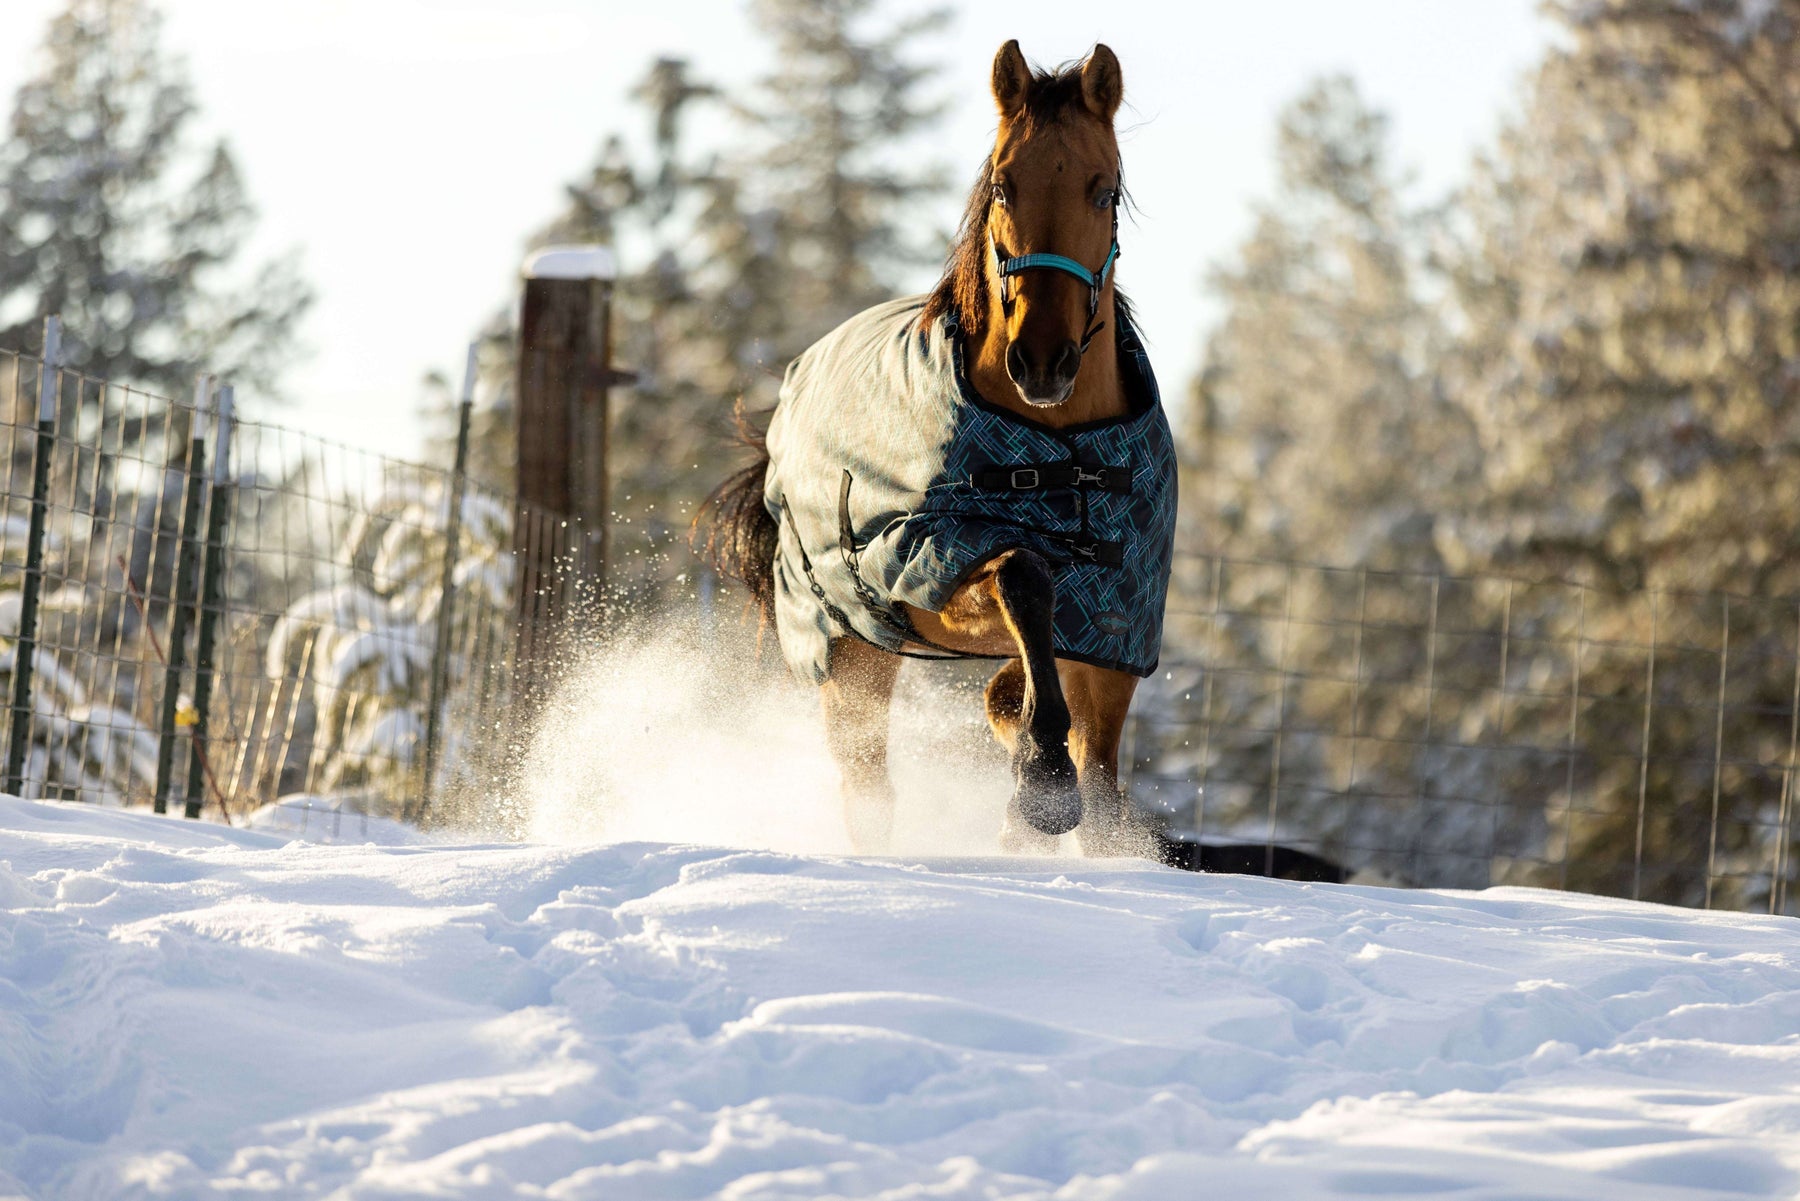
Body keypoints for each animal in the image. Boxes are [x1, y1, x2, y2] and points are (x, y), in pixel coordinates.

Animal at [698, 39, 1180, 864]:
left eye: (1103, 190)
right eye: (1003, 184)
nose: (1042, 361)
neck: (1064, 449)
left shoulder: (1114, 628)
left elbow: (1097, 787)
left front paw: (1035, 789)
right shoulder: (935, 559)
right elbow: (1023, 573)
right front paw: (1041, 779)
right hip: (851, 656)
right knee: (869, 794)